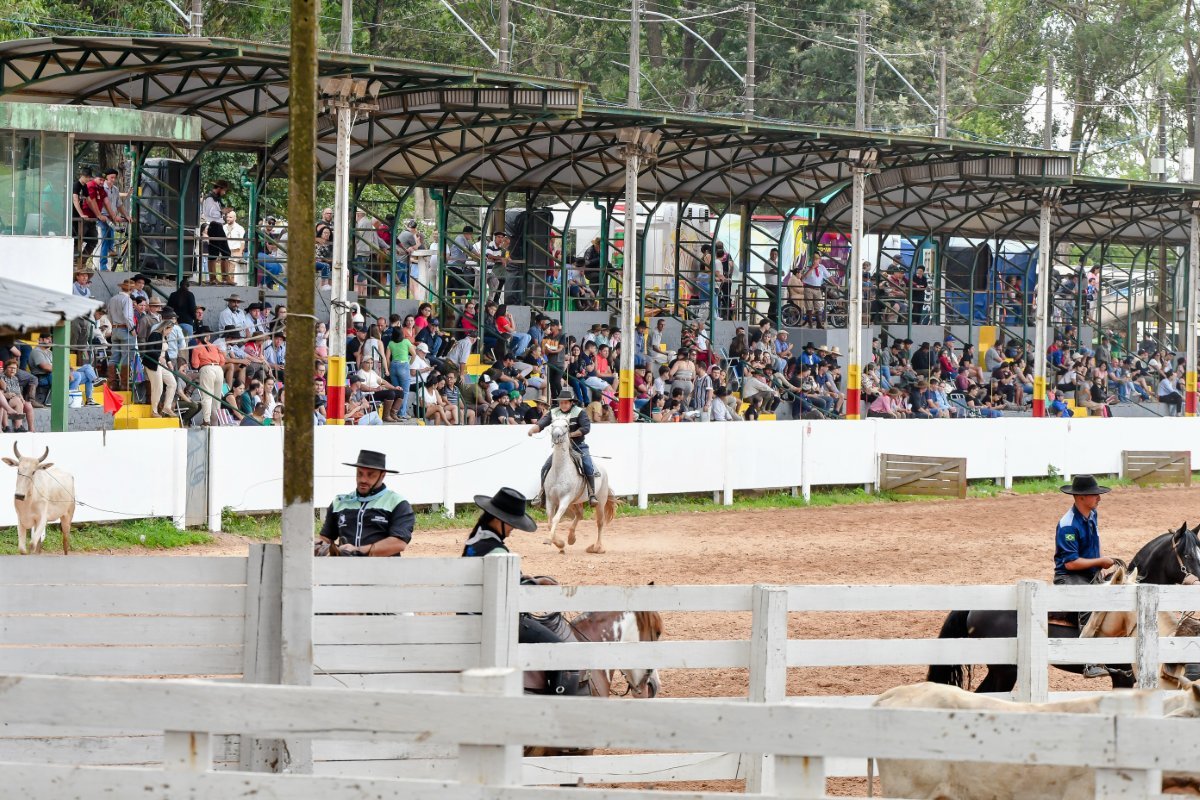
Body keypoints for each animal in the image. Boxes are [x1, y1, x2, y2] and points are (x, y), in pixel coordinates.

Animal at [542, 417, 618, 554]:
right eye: (552, 425)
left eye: (566, 425)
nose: (556, 436)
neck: (560, 470)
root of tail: (602, 470)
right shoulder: (550, 500)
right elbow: (550, 522)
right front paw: (559, 543)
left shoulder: (565, 500)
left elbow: (555, 519)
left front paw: (553, 541)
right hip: (575, 501)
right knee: (579, 515)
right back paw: (571, 538)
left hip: (600, 501)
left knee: (600, 523)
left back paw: (597, 547)